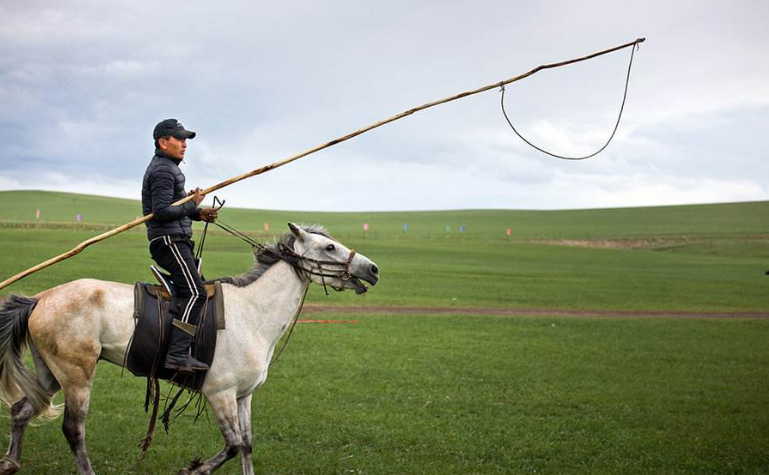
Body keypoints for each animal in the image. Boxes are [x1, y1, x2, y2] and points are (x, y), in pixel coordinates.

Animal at [0, 224, 376, 475]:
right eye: (329, 247)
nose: (373, 269)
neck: (252, 312)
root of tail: (40, 298)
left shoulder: (243, 397)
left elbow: (246, 446)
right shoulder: (220, 393)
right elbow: (232, 445)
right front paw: (193, 468)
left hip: (52, 372)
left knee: (21, 411)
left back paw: (10, 463)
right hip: (77, 374)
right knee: (73, 429)